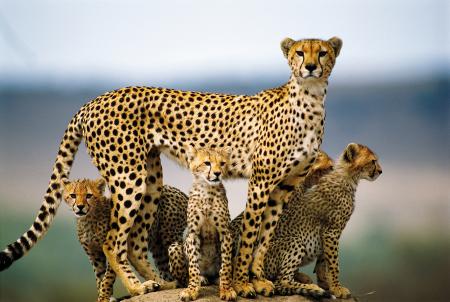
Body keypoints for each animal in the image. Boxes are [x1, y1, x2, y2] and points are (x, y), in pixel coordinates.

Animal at [0, 36, 342, 298]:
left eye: (322, 52)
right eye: (300, 52)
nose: (311, 66)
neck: (311, 100)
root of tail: (93, 101)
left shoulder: (284, 186)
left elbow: (265, 236)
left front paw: (258, 278)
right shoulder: (260, 182)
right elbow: (248, 237)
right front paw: (244, 284)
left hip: (150, 178)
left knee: (135, 242)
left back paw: (161, 284)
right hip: (129, 176)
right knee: (113, 240)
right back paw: (138, 288)